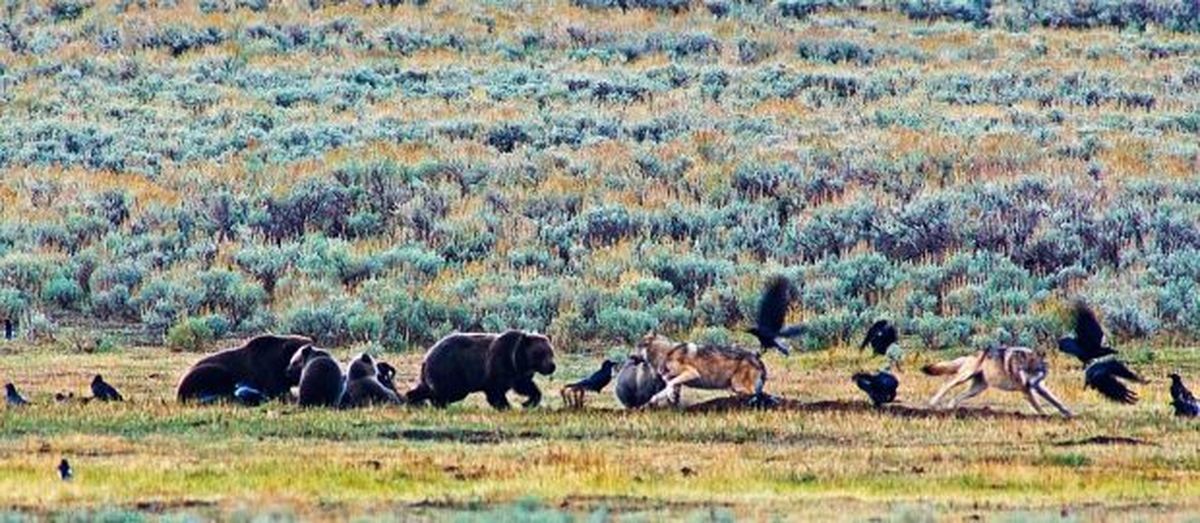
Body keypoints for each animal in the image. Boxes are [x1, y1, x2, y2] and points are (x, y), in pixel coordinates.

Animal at [405, 330, 556, 410]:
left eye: (551, 352)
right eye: (541, 353)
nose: (552, 366)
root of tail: (426, 357)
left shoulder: (518, 373)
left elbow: (525, 386)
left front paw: (527, 403)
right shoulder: (499, 365)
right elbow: (495, 391)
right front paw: (506, 406)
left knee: (427, 388)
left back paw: (415, 400)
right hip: (450, 371)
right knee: (443, 391)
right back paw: (433, 404)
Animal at [635, 333, 772, 407]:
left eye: (638, 347)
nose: (631, 356)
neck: (667, 353)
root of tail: (757, 356)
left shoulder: (692, 373)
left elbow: (670, 385)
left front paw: (669, 397)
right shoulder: (676, 382)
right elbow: (661, 393)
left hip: (737, 386)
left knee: (757, 395)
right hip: (737, 388)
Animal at [923, 346, 1073, 417]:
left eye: (1035, 371)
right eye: (1024, 370)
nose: (1028, 383)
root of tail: (973, 354)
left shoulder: (1039, 388)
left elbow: (1057, 401)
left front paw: (1069, 414)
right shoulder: (1026, 391)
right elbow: (1038, 406)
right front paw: (1045, 416)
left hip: (976, 390)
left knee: (957, 397)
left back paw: (951, 409)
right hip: (964, 377)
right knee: (946, 385)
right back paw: (933, 403)